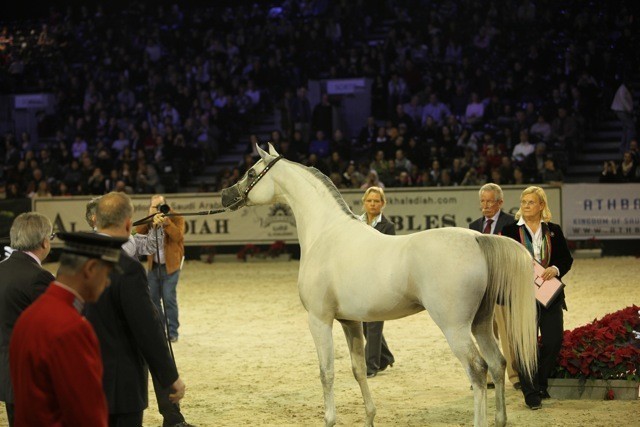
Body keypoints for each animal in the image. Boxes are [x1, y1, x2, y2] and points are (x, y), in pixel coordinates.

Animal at [221, 144, 537, 427]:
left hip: (455, 328)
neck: (326, 233)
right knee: (497, 363)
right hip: (481, 322)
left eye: (251, 172)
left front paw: (329, 420)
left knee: (478, 370)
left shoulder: (319, 320)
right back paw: (500, 420)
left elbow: (327, 372)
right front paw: (370, 417)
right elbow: (358, 370)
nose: (226, 195)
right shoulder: (350, 322)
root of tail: (477, 238)